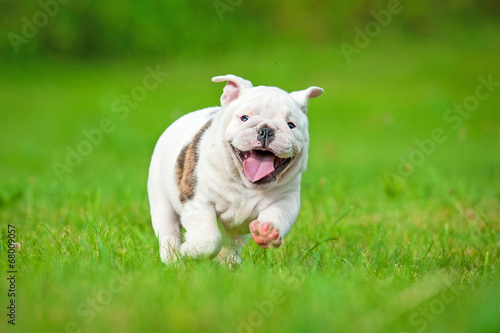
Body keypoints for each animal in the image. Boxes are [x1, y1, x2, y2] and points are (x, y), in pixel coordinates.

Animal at [146, 74, 322, 264]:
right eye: (244, 118)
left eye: (291, 125)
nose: (266, 130)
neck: (244, 182)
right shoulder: (197, 200)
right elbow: (208, 239)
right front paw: (189, 251)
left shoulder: (286, 200)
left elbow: (277, 214)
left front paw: (267, 231)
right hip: (161, 202)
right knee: (168, 232)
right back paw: (173, 260)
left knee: (231, 242)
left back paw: (229, 264)